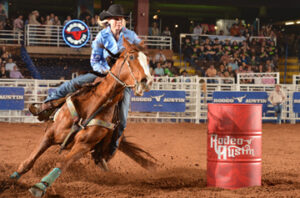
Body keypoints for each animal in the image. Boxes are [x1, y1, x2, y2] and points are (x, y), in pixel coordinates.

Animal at [9, 38, 155, 197]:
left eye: (148, 60)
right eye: (132, 57)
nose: (147, 81)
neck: (94, 104)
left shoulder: (83, 146)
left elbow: (61, 163)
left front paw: (41, 186)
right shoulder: (50, 134)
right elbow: (30, 160)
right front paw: (12, 179)